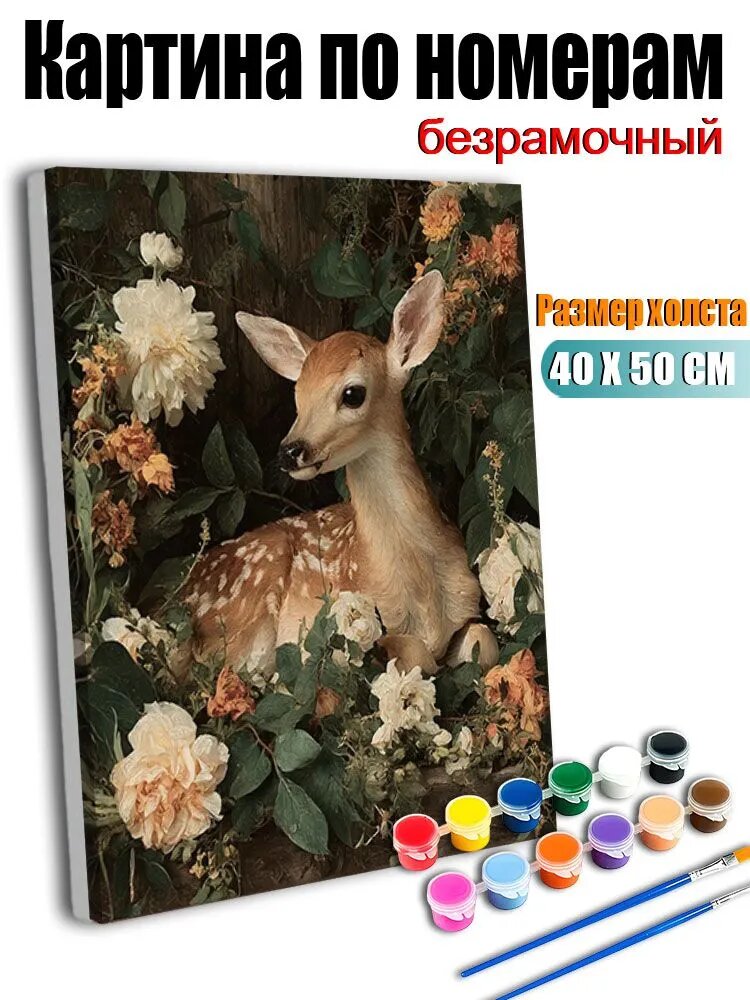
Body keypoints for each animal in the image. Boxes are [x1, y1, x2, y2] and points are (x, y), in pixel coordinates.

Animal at [184, 271, 498, 680]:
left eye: (352, 394)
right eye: (298, 396)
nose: (289, 450)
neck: (421, 590)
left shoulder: (468, 608)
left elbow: (484, 641)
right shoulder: (354, 626)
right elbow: (411, 652)